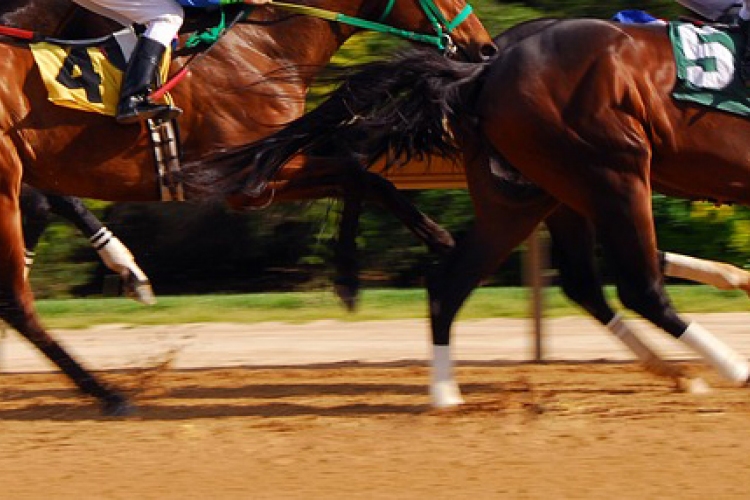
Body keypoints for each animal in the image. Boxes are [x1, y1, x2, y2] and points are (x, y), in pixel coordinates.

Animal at [0, 0, 496, 414]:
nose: (484, 46)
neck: (264, 47)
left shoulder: (264, 165)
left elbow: (356, 171)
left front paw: (361, 273)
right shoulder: (248, 180)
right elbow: (360, 172)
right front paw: (431, 244)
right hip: (8, 181)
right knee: (16, 302)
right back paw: (111, 394)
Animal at [197, 19, 750, 406]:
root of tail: (483, 71)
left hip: (535, 194)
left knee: (475, 281)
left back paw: (447, 393)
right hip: (610, 169)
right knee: (637, 287)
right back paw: (729, 368)